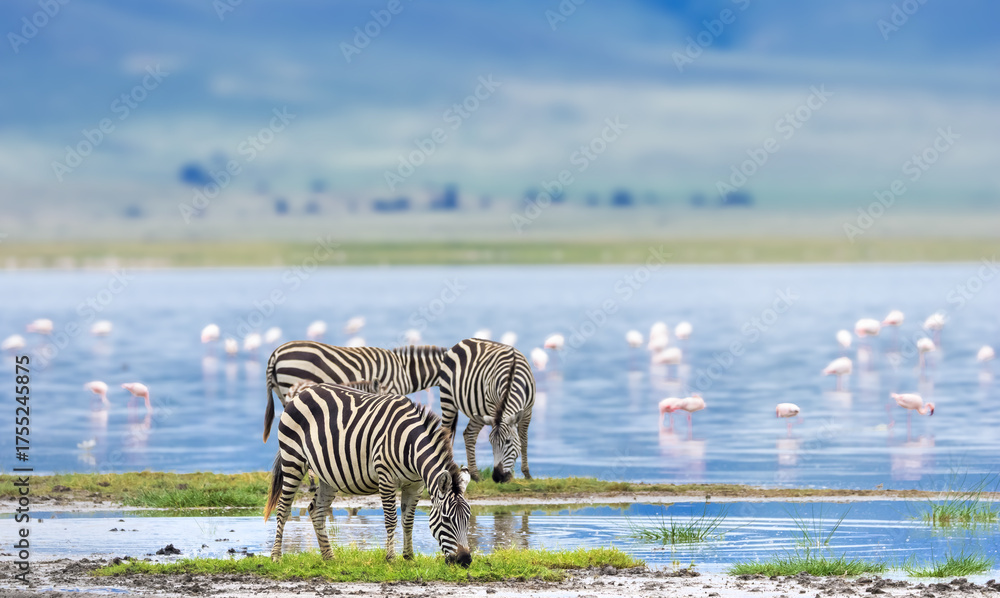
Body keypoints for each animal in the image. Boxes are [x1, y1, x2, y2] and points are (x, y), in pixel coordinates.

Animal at [264, 382, 473, 565]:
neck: (410, 446)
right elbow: (391, 520)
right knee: (283, 508)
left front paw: (409, 557)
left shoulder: (416, 485)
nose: (465, 561)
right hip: (293, 459)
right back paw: (276, 557)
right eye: (446, 519)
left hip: (327, 474)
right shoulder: (386, 479)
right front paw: (391, 558)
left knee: (317, 510)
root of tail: (302, 392)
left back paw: (329, 557)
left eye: (468, 518)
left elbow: (408, 521)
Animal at [438, 338, 535, 484]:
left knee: (469, 434)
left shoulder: (527, 411)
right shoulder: (493, 408)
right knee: (444, 432)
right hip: (447, 399)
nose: (497, 477)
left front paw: (526, 474)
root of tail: (462, 342)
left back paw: (475, 475)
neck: (512, 375)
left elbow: (523, 440)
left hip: (477, 410)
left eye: (508, 441)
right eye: (491, 443)